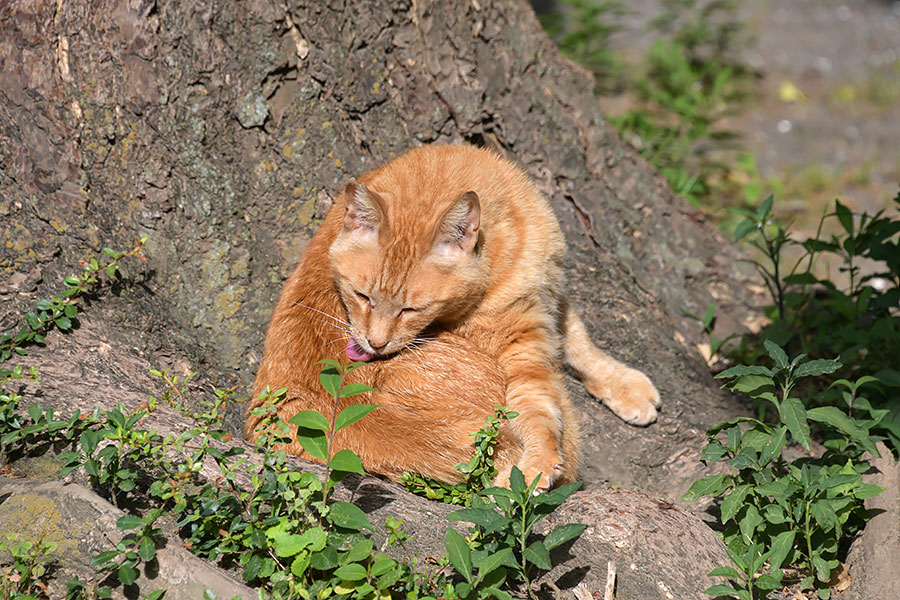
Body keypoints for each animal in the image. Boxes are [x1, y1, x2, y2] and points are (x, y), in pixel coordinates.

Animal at [248, 143, 660, 490]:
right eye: (362, 296)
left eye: (411, 309)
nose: (374, 344)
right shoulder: (522, 350)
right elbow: (542, 411)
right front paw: (538, 463)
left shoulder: (550, 300)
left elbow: (579, 340)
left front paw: (624, 384)